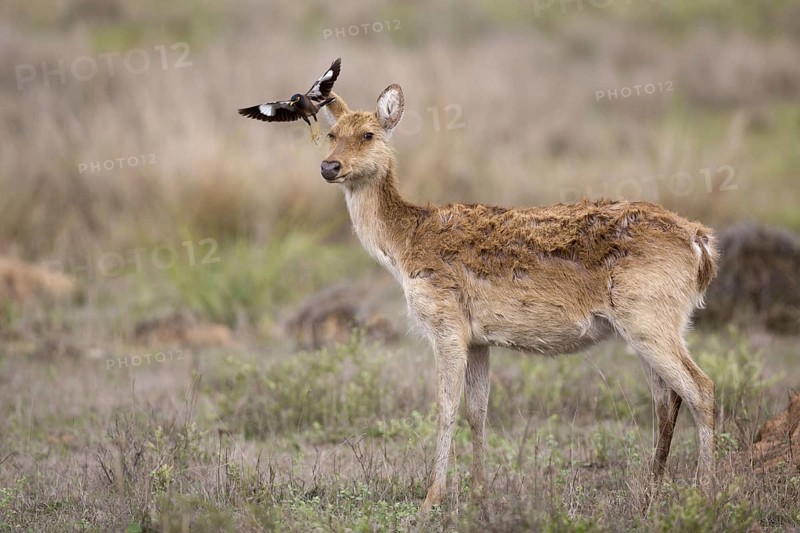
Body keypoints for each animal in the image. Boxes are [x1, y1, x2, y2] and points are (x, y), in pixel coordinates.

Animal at [317, 84, 719, 513]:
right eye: (331, 134)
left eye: (368, 134)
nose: (329, 167)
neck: (403, 245)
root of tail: (700, 244)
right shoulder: (478, 339)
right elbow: (477, 411)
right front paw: (479, 493)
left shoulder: (445, 322)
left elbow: (445, 408)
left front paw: (431, 499)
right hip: (653, 323)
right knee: (666, 400)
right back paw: (649, 494)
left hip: (649, 316)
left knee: (700, 388)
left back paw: (705, 493)